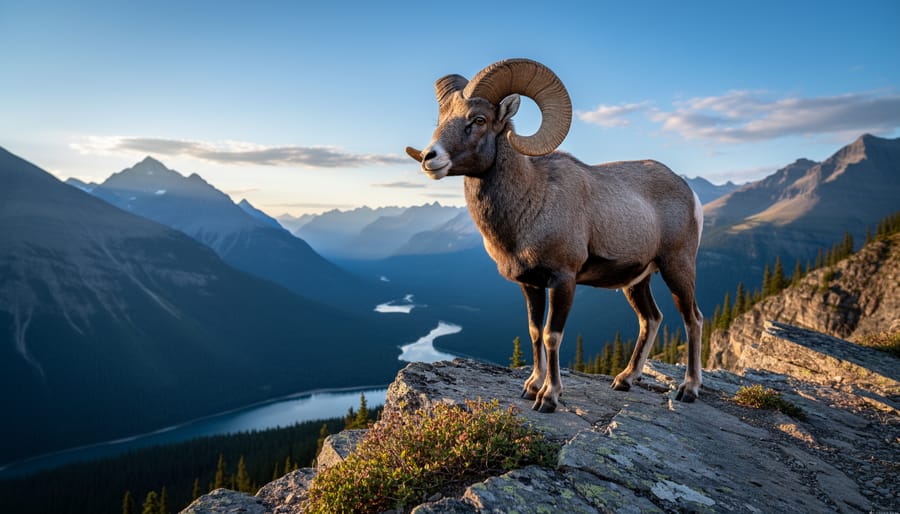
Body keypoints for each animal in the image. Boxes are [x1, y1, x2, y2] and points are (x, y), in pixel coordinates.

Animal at [405, 58, 704, 413]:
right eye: (442, 119)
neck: (531, 202)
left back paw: (689, 389)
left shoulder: (563, 280)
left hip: (677, 266)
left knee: (693, 319)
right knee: (651, 319)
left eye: (478, 120)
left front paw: (548, 397)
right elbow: (535, 332)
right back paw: (624, 380)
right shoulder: (530, 284)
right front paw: (532, 386)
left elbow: (552, 335)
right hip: (636, 281)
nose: (430, 158)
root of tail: (690, 193)